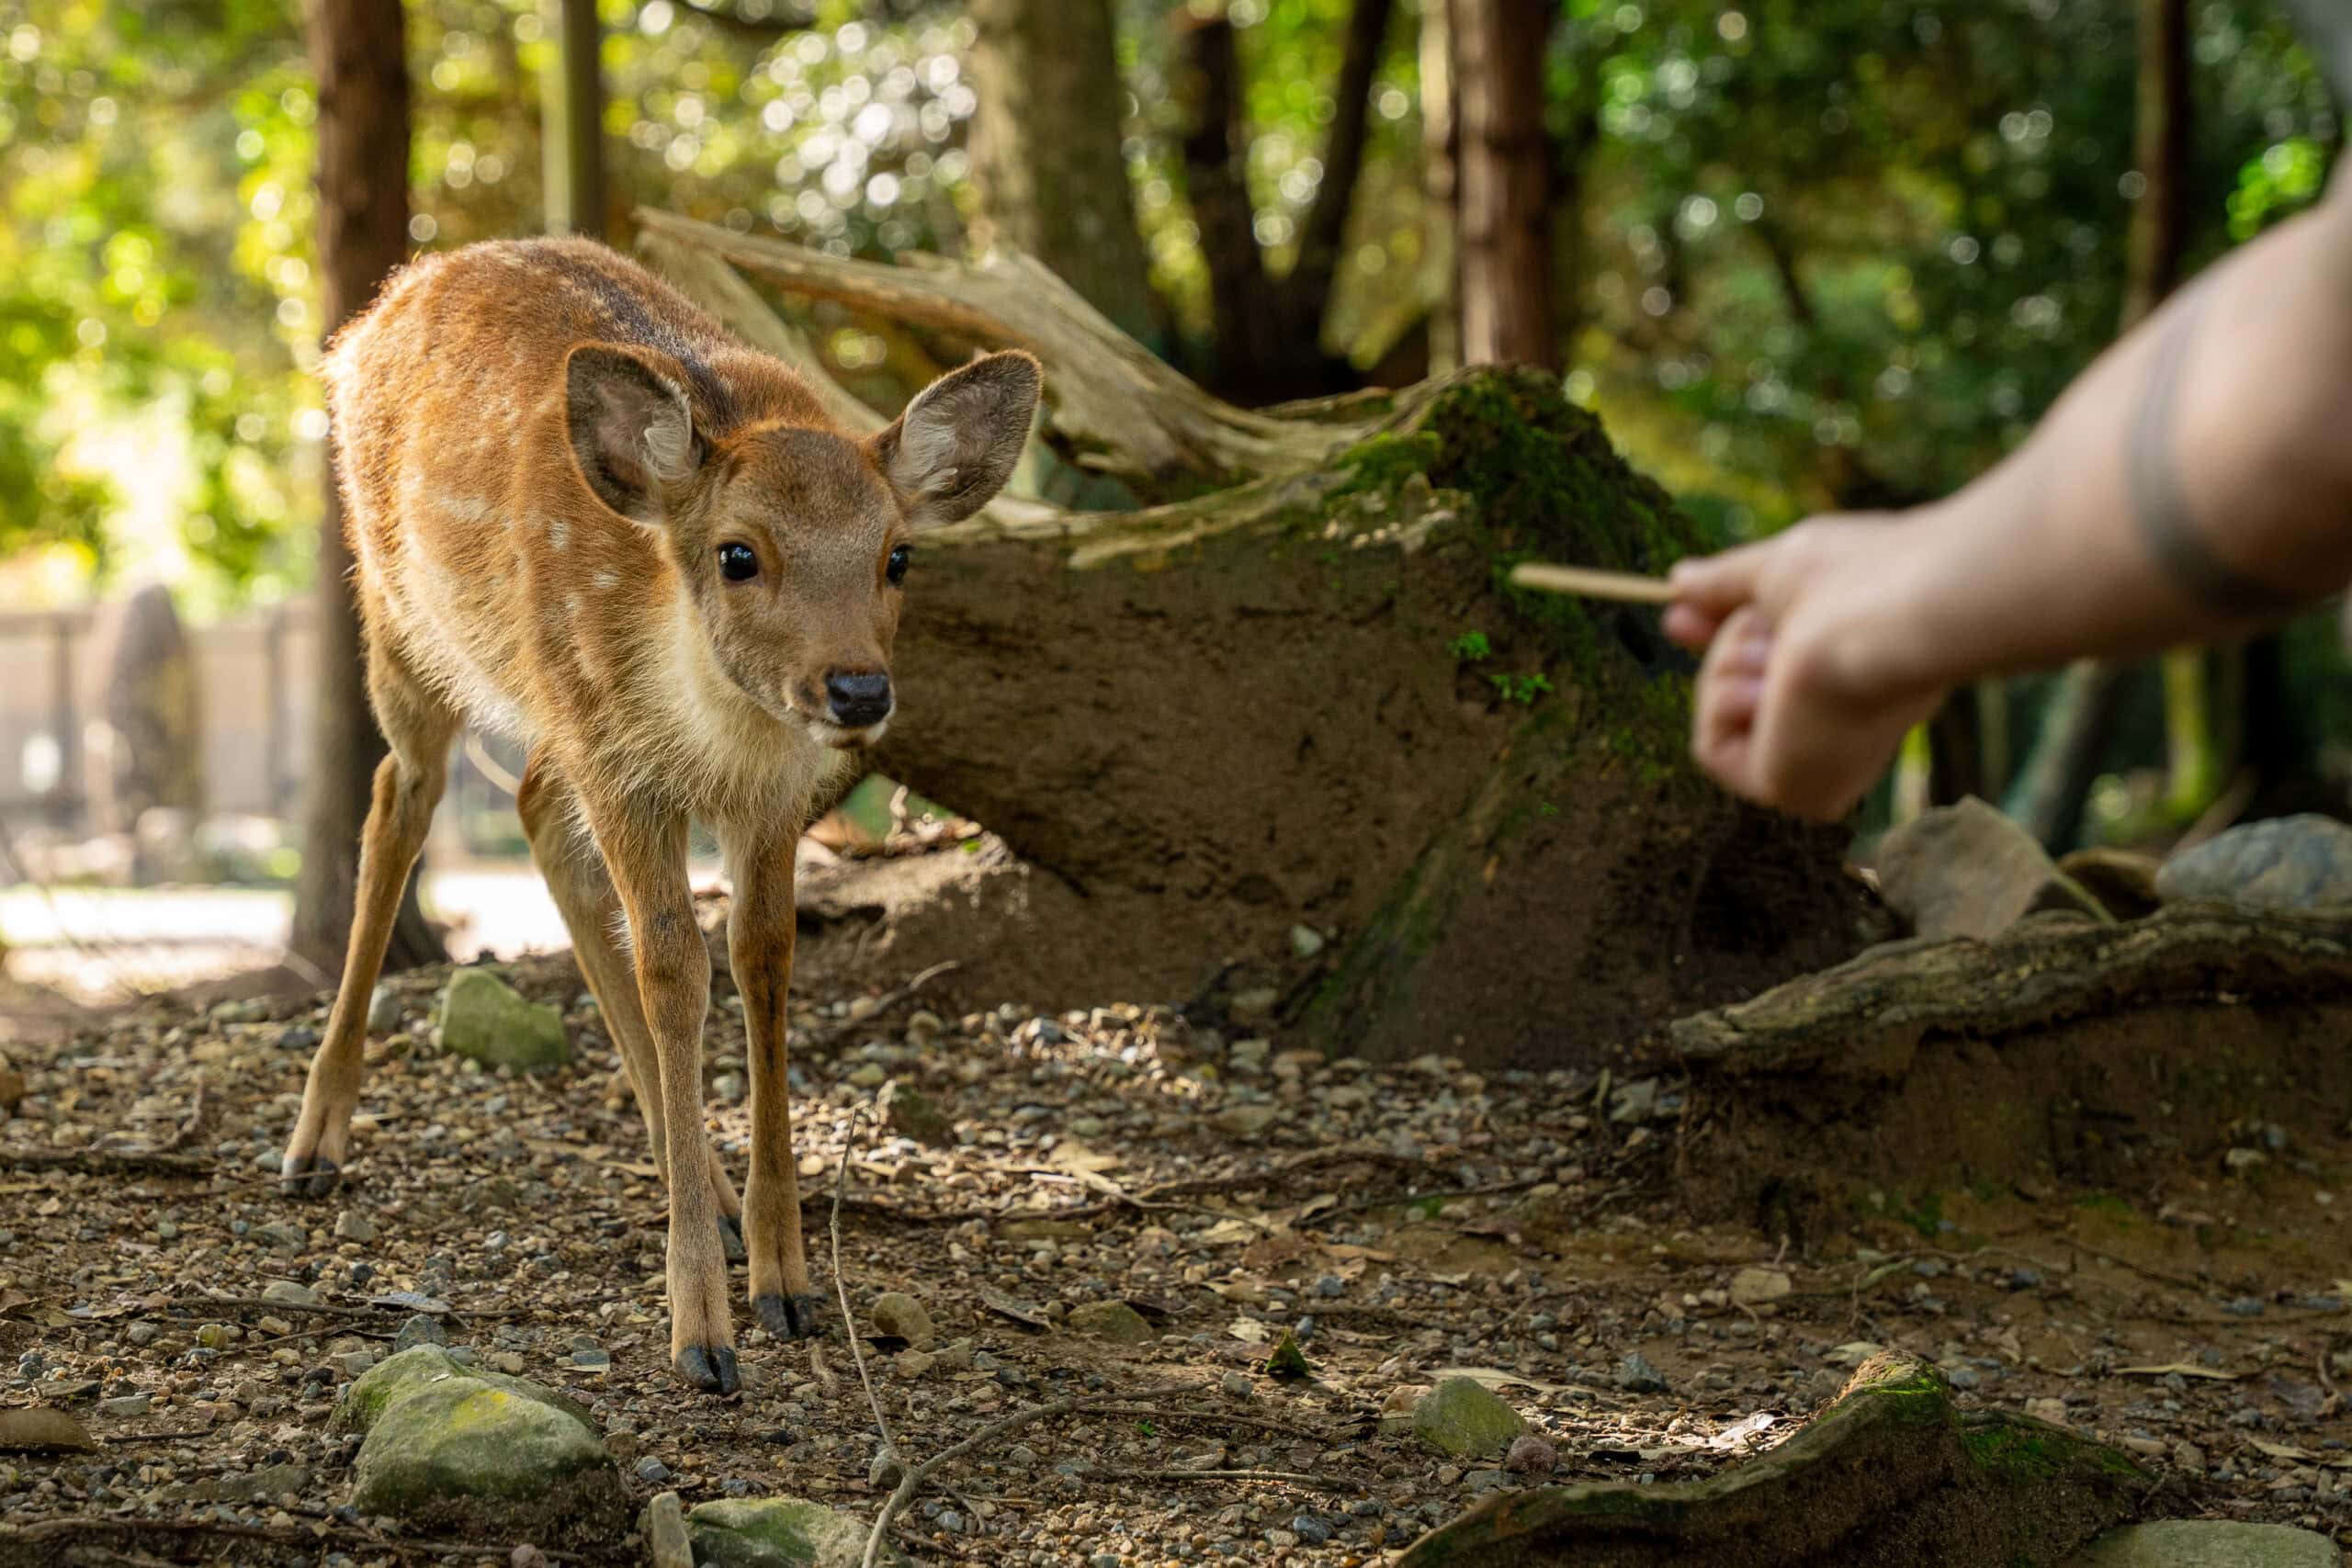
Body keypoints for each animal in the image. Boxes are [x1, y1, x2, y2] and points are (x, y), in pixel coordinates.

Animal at [277, 236, 1040, 1394]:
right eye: (739, 553)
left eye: (897, 556)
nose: (857, 692)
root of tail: (372, 314)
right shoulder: (619, 758)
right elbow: (676, 970)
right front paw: (701, 1333)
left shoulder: (768, 795)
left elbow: (762, 954)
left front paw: (784, 1278)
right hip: (401, 615)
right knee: (396, 801)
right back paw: (314, 1143)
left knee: (534, 808)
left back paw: (712, 1196)